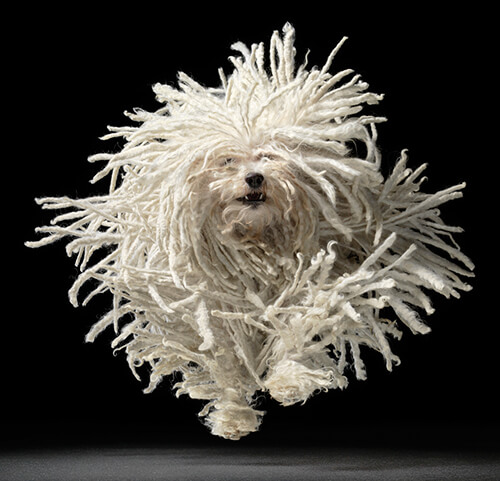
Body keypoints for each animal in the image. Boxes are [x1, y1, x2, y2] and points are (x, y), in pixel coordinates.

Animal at [27, 25, 472, 438]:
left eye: (270, 156)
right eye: (227, 161)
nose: (254, 178)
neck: (256, 242)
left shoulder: (316, 270)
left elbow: (302, 320)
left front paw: (289, 380)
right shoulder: (207, 300)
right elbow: (224, 356)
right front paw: (233, 415)